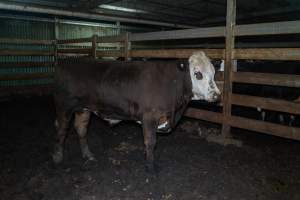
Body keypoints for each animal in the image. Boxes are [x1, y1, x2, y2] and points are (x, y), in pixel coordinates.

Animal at [52, 51, 220, 172]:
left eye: (213, 73)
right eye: (198, 74)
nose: (216, 95)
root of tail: (66, 61)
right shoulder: (149, 117)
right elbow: (150, 142)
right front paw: (150, 167)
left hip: (83, 108)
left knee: (81, 129)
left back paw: (88, 155)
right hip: (64, 105)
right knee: (62, 129)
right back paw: (58, 157)